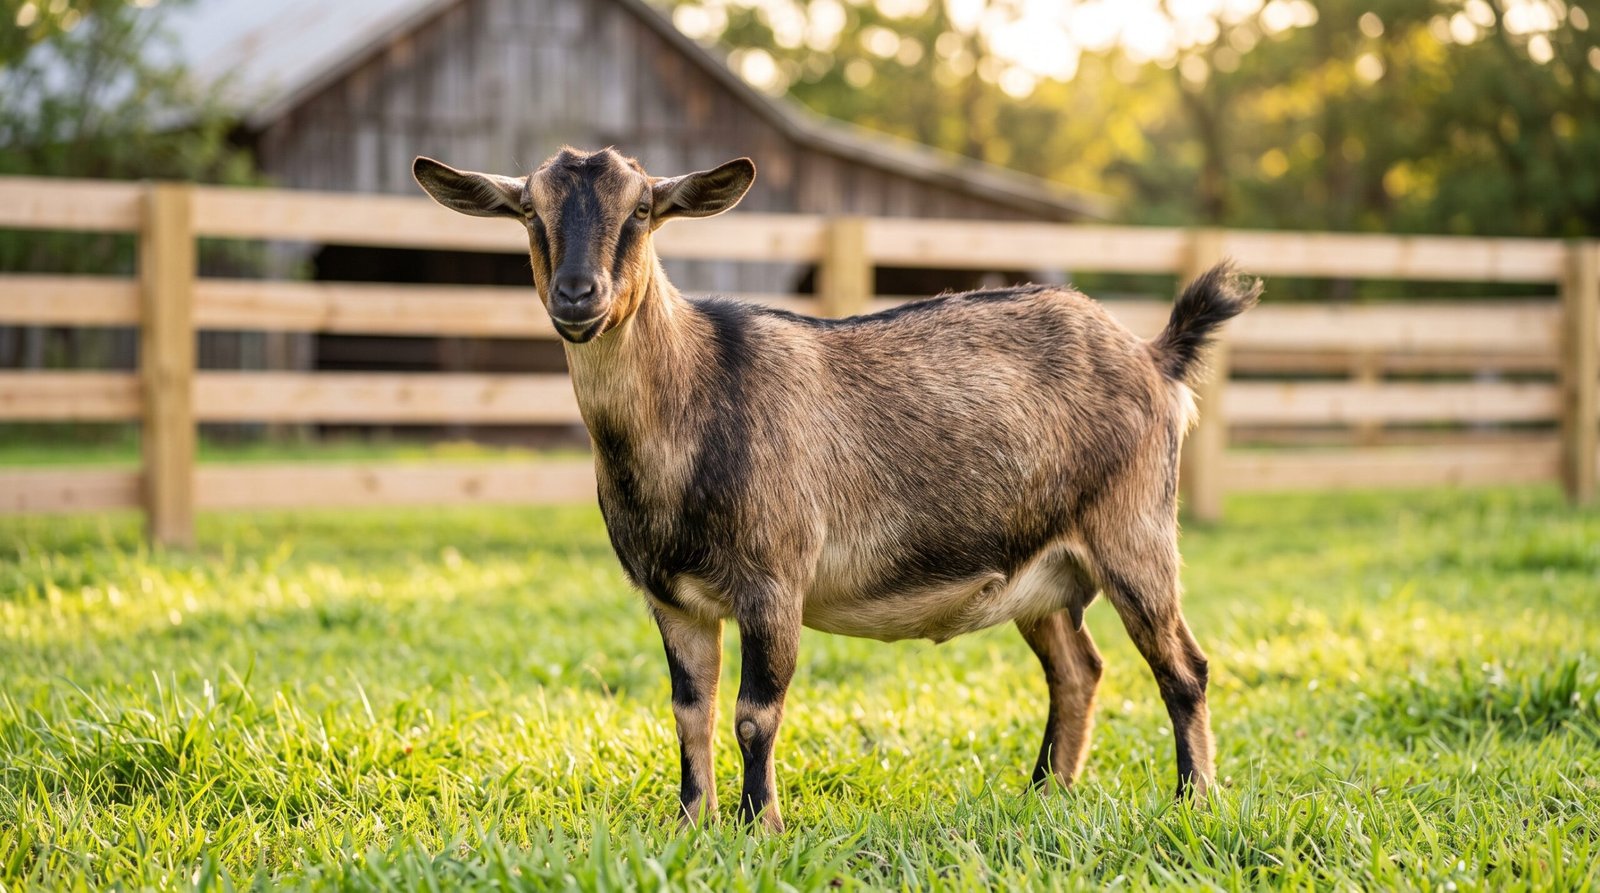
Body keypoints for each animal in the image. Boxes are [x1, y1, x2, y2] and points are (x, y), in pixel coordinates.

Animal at [414, 147, 1261, 831]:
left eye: (644, 210)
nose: (578, 295)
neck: (691, 399)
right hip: (1043, 570)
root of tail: (1154, 356)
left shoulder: (773, 580)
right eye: (530, 210)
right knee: (1078, 668)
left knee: (1183, 666)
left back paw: (1193, 798)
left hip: (1134, 532)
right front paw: (691, 820)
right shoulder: (672, 597)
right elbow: (690, 712)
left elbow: (755, 714)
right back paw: (1046, 792)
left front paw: (760, 825)